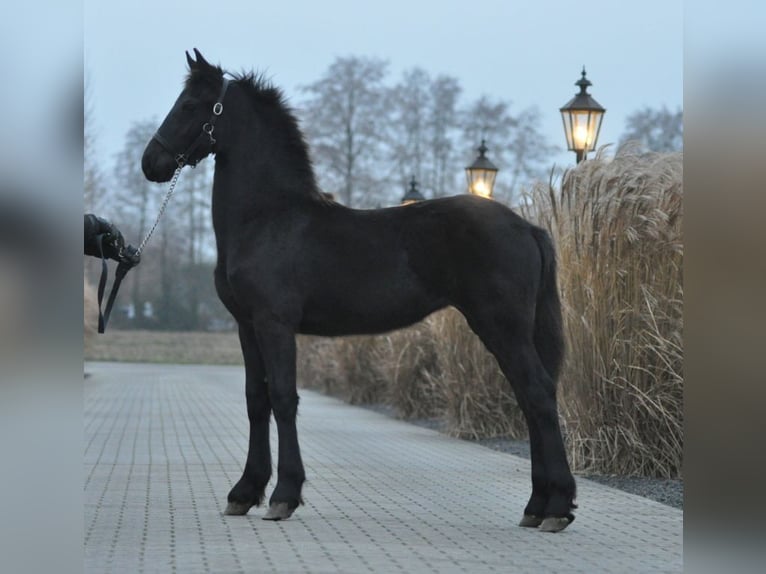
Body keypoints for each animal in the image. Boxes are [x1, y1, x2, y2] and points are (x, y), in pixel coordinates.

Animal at [142, 50, 576, 536]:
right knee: (528, 397)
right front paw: (244, 492)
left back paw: (557, 507)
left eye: (190, 105)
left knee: (538, 392)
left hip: (502, 326)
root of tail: (527, 227)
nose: (151, 163)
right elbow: (257, 400)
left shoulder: (275, 324)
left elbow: (283, 399)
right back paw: (537, 505)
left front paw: (283, 495)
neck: (268, 219)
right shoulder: (245, 326)